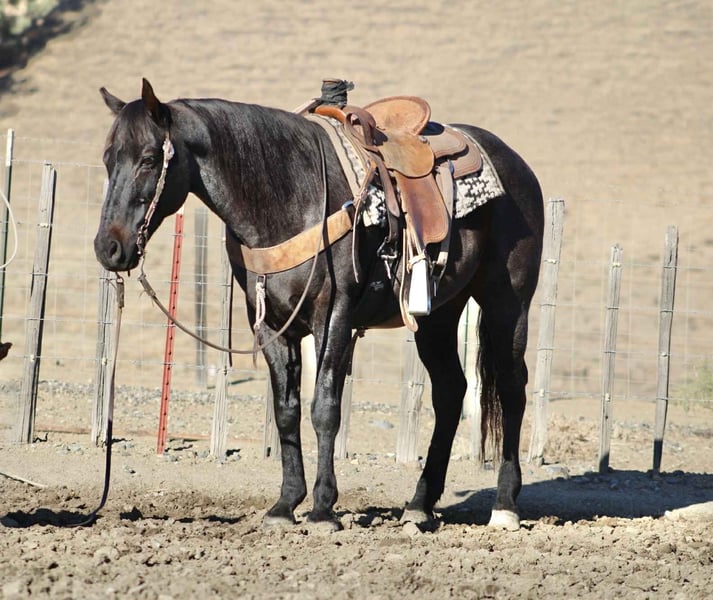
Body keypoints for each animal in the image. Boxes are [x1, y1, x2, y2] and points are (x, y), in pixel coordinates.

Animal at [94, 79, 544, 531]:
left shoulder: (334, 317)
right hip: (438, 316)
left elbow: (325, 407)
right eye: (108, 159)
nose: (108, 247)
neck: (290, 195)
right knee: (450, 390)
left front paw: (324, 508)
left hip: (508, 304)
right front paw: (285, 504)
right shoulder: (270, 324)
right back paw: (420, 504)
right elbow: (286, 410)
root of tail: (517, 164)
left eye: (149, 159)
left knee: (512, 387)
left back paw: (505, 505)